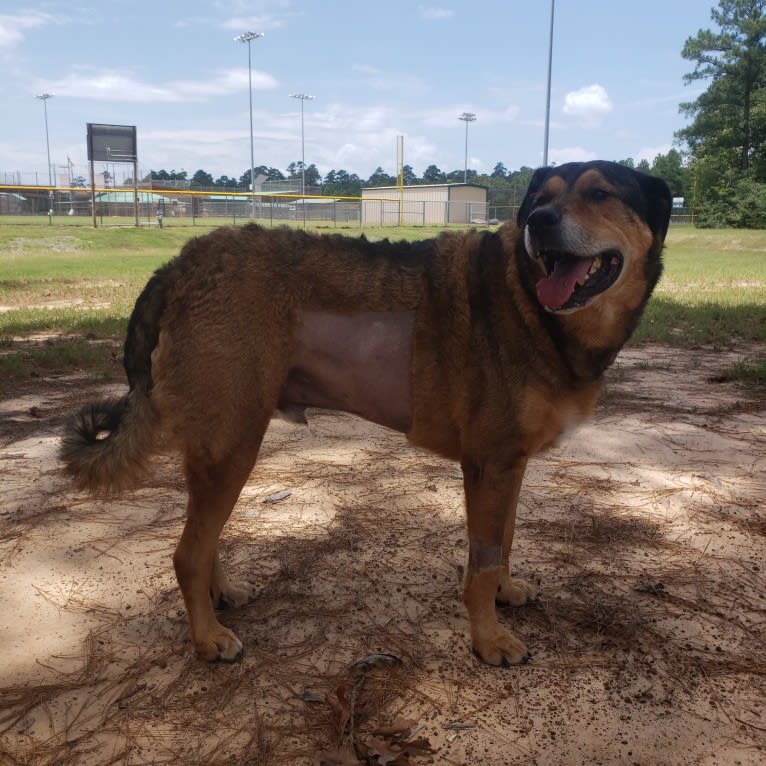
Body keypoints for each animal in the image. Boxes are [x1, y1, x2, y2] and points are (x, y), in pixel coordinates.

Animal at [61, 160, 672, 664]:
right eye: (540, 199)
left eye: (599, 193)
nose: (540, 222)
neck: (526, 293)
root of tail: (180, 264)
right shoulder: (489, 466)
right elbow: (481, 565)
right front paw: (488, 640)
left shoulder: (509, 467)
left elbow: (504, 542)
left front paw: (505, 594)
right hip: (233, 448)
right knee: (187, 553)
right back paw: (208, 638)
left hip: (222, 449)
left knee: (203, 542)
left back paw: (222, 596)